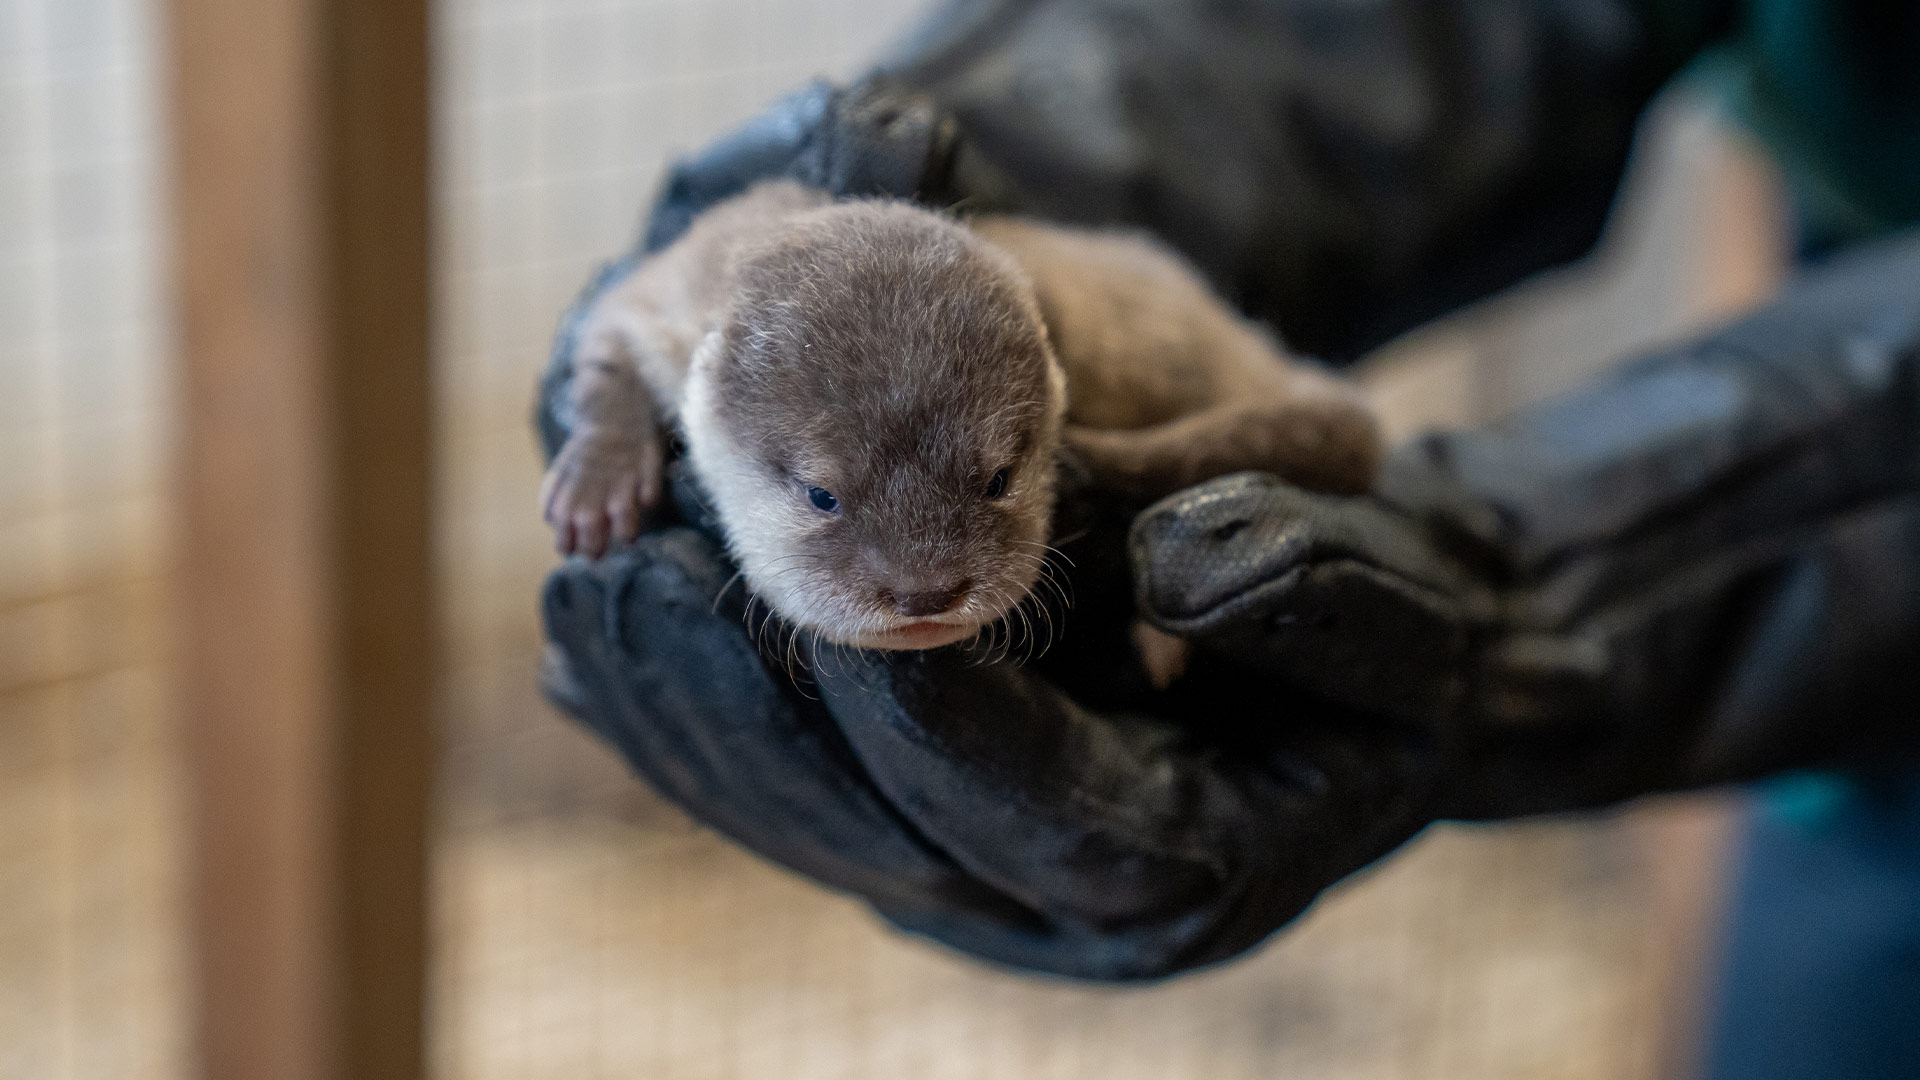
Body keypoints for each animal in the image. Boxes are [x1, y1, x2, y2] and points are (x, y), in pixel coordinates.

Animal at [541, 180, 1379, 652]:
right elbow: (603, 338)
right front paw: (597, 487)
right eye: (822, 495)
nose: (925, 593)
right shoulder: (666, 290)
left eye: (999, 478)